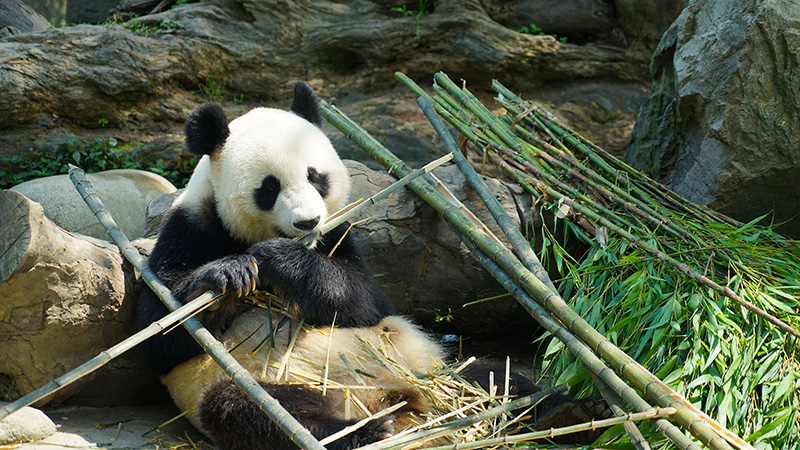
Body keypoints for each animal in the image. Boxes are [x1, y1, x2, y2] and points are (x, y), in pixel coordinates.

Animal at [136, 81, 611, 449]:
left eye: (315, 176)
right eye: (269, 188)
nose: (307, 222)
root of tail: (390, 400)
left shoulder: (339, 235)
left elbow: (365, 301)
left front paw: (278, 259)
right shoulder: (191, 224)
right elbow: (160, 334)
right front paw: (227, 274)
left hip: (426, 362)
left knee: (491, 375)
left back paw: (567, 411)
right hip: (250, 382)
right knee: (259, 414)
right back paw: (364, 433)